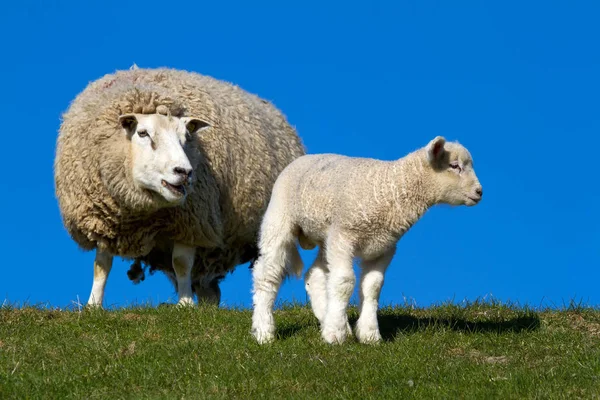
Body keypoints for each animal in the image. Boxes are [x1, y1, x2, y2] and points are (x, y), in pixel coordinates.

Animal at [54, 67, 304, 308]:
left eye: (187, 136)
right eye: (142, 133)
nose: (184, 172)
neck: (140, 212)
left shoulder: (191, 221)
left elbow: (181, 263)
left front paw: (184, 304)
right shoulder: (105, 221)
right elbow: (101, 265)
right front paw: (93, 305)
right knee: (209, 287)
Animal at [250, 138, 482, 344]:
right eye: (454, 166)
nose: (480, 192)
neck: (392, 189)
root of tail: (303, 158)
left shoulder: (384, 247)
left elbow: (373, 286)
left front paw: (369, 334)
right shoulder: (344, 236)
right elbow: (344, 282)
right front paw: (335, 334)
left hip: (327, 237)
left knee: (314, 275)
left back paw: (328, 318)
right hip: (279, 219)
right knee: (267, 274)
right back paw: (264, 331)